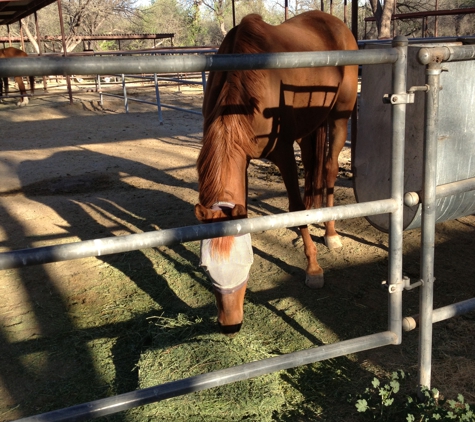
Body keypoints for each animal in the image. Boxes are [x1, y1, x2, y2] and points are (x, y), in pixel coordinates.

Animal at [194, 9, 356, 334]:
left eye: (247, 264)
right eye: (206, 268)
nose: (230, 325)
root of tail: (335, 22)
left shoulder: (282, 154)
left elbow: (295, 205)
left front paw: (313, 269)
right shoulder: (242, 158)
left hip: (339, 117)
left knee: (329, 169)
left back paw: (331, 233)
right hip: (311, 127)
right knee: (313, 166)